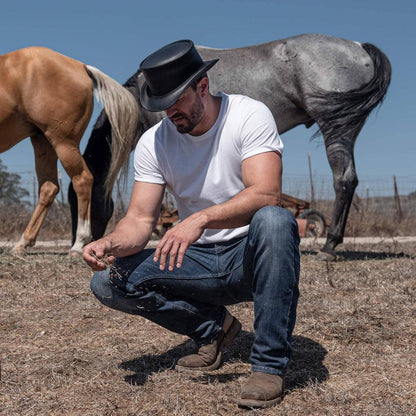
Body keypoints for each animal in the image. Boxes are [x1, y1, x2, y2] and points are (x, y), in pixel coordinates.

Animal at [0, 45, 140, 254]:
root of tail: (81, 67)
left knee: (82, 180)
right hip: (43, 142)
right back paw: (23, 243)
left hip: (63, 143)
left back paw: (78, 244)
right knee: (48, 187)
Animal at [69, 34, 394, 260]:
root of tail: (360, 47)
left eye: (78, 200)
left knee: (344, 180)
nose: (79, 242)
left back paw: (328, 246)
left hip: (336, 127)